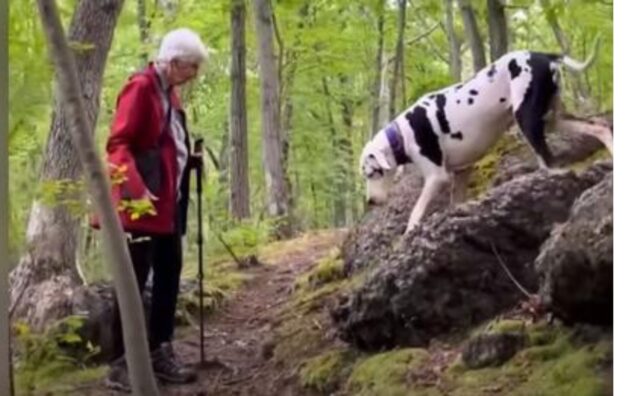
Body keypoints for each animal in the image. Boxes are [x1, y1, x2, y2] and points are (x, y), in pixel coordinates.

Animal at [362, 39, 612, 234]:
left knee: (550, 163)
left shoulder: (436, 177)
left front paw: (408, 232)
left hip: (528, 121)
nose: (370, 202)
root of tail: (543, 54)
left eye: (372, 172)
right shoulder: (461, 172)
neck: (403, 133)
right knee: (599, 127)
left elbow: (416, 211)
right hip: (553, 121)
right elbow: (455, 203)